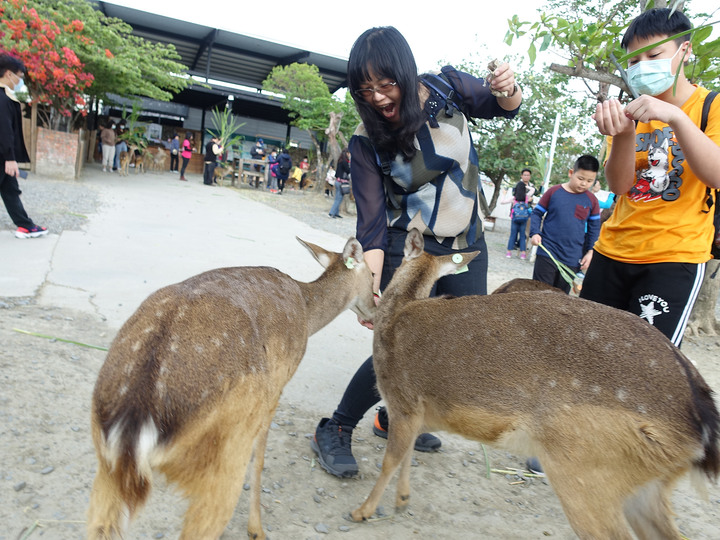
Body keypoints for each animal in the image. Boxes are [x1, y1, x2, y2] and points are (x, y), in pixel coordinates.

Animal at [87, 236, 374, 540]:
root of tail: (136, 420)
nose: (375, 309)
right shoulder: (278, 386)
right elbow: (259, 459)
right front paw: (257, 530)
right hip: (225, 451)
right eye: (373, 275)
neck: (307, 313)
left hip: (107, 467)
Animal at [354, 229, 720, 540]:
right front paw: (402, 500)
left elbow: (391, 460)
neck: (394, 319)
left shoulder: (403, 400)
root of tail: (701, 425)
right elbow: (406, 457)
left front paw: (363, 510)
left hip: (584, 465)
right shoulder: (418, 413)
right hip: (647, 484)